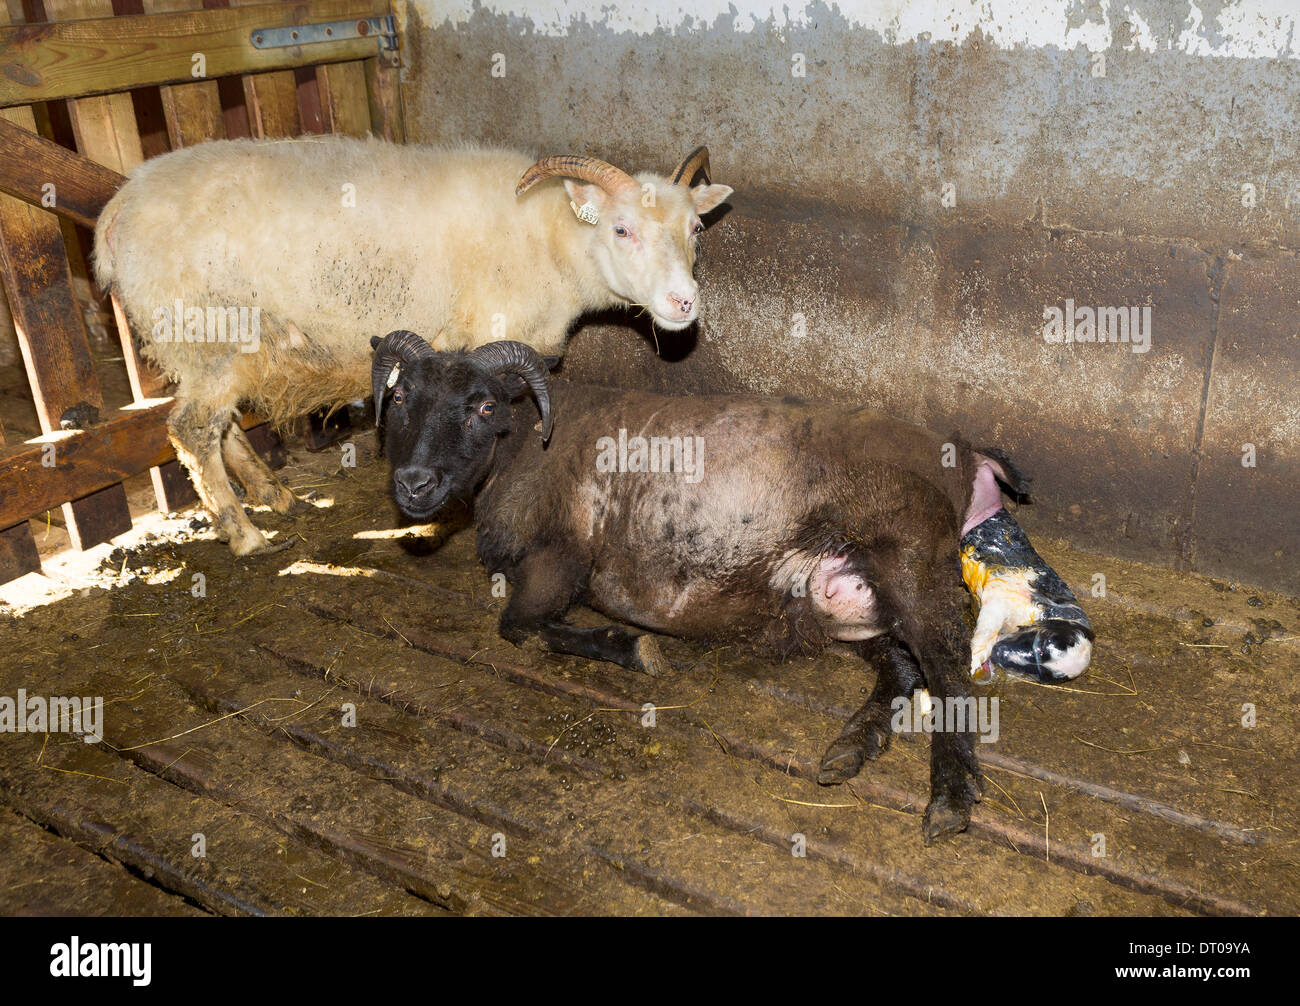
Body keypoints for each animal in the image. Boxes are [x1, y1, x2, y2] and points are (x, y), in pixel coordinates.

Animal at [92, 138, 732, 556]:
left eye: (696, 231)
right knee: (193, 428)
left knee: (220, 426)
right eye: (622, 229)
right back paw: (244, 534)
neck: (552, 238)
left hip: (208, 350)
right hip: (206, 334)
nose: (684, 304)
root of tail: (117, 209)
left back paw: (275, 495)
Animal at [367, 330, 1047, 842]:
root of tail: (962, 449)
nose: (415, 484)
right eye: (398, 399)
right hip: (841, 596)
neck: (522, 447)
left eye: (484, 407)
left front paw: (631, 648)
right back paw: (854, 746)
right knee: (903, 666)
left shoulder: (562, 559)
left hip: (907, 551)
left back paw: (951, 796)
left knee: (946, 660)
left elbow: (519, 626)